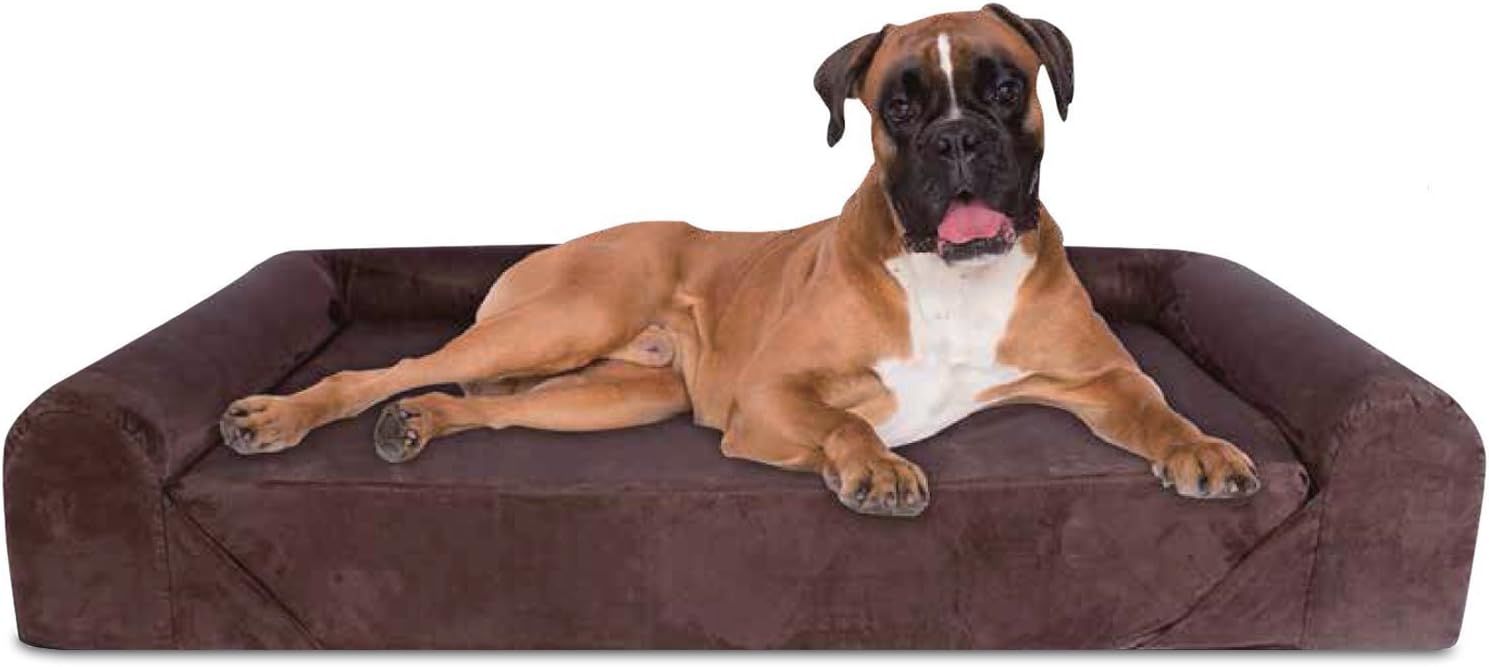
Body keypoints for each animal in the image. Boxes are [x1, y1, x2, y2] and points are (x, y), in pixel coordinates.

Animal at [220, 4, 1260, 518]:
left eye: (1005, 87)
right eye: (899, 105)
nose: (958, 139)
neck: (949, 280)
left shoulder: (1100, 382)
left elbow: (1157, 406)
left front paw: (1202, 450)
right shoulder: (770, 396)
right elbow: (847, 422)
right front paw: (875, 470)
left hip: (615, 395)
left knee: (496, 410)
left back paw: (420, 425)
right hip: (566, 318)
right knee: (387, 365)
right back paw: (278, 417)